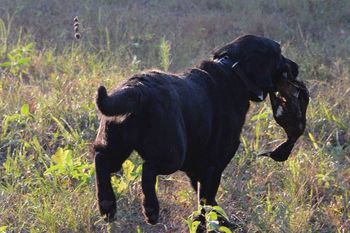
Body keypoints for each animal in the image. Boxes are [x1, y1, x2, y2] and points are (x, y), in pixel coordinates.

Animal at [92, 34, 298, 224]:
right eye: (279, 53)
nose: (296, 67)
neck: (233, 71)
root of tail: (137, 88)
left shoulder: (197, 168)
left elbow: (204, 198)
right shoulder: (214, 164)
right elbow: (208, 198)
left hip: (115, 146)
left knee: (101, 160)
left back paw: (107, 206)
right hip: (172, 154)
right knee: (147, 169)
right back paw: (151, 209)